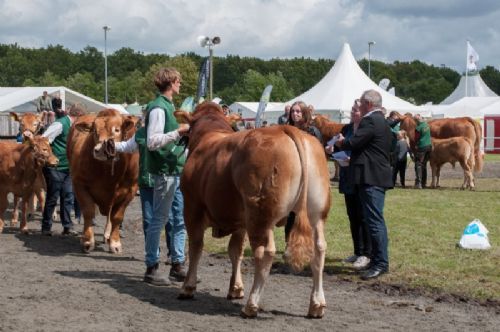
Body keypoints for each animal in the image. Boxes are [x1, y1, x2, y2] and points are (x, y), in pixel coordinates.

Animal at [67, 110, 139, 253]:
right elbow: (88, 211)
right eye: (94, 131)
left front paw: (115, 243)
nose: (101, 150)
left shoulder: (131, 190)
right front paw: (87, 241)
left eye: (117, 130)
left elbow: (117, 217)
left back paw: (107, 235)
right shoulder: (79, 183)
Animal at [177, 103, 332, 320]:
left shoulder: (192, 208)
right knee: (319, 249)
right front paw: (235, 288)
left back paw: (252, 305)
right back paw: (317, 305)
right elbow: (235, 251)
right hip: (315, 214)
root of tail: (286, 129)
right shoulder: (240, 220)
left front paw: (188, 287)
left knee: (265, 253)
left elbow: (196, 247)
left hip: (260, 215)